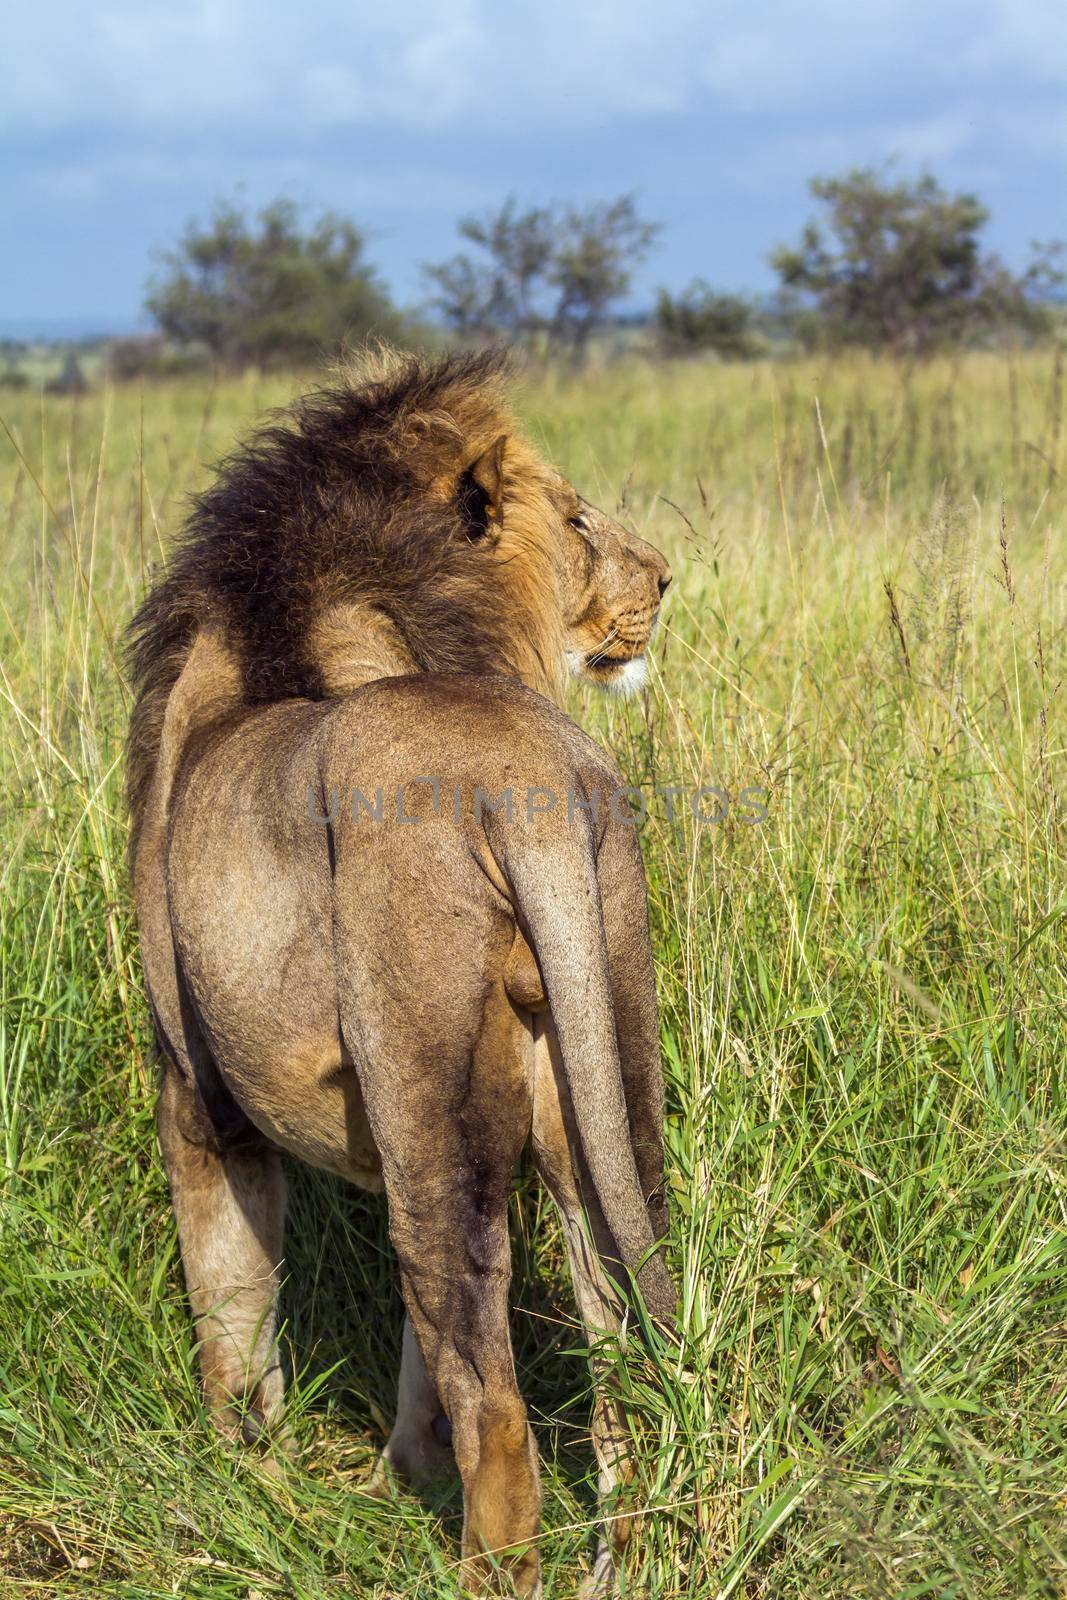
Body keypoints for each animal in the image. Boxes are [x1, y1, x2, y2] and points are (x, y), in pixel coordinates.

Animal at [127, 344, 675, 1593]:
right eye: (579, 519)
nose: (668, 578)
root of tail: (520, 773)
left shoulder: (196, 1091)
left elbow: (232, 1322)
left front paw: (248, 1494)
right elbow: (413, 1370)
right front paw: (391, 1482)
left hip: (421, 1083)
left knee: (502, 1418)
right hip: (598, 1069)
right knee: (618, 1361)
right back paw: (621, 1560)